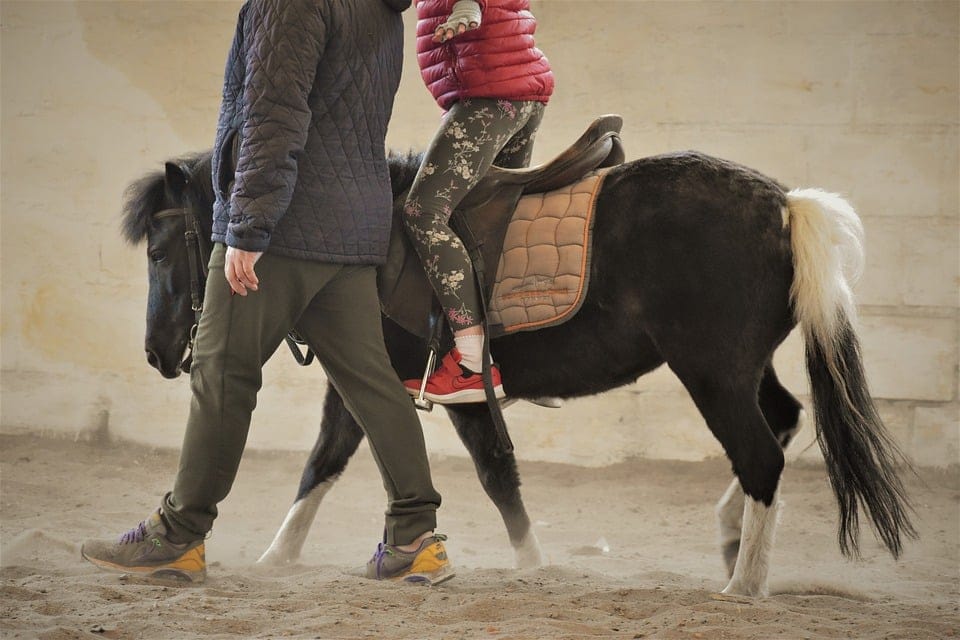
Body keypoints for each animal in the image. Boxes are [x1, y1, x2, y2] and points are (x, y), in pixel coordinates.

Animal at [120, 141, 915, 597]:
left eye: (159, 251)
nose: (157, 354)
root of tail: (782, 205)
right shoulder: (377, 377)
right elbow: (329, 462)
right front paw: (275, 559)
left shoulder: (439, 384)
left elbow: (488, 471)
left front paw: (529, 563)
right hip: (741, 369)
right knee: (781, 423)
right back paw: (729, 541)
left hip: (710, 371)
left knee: (759, 456)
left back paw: (744, 588)